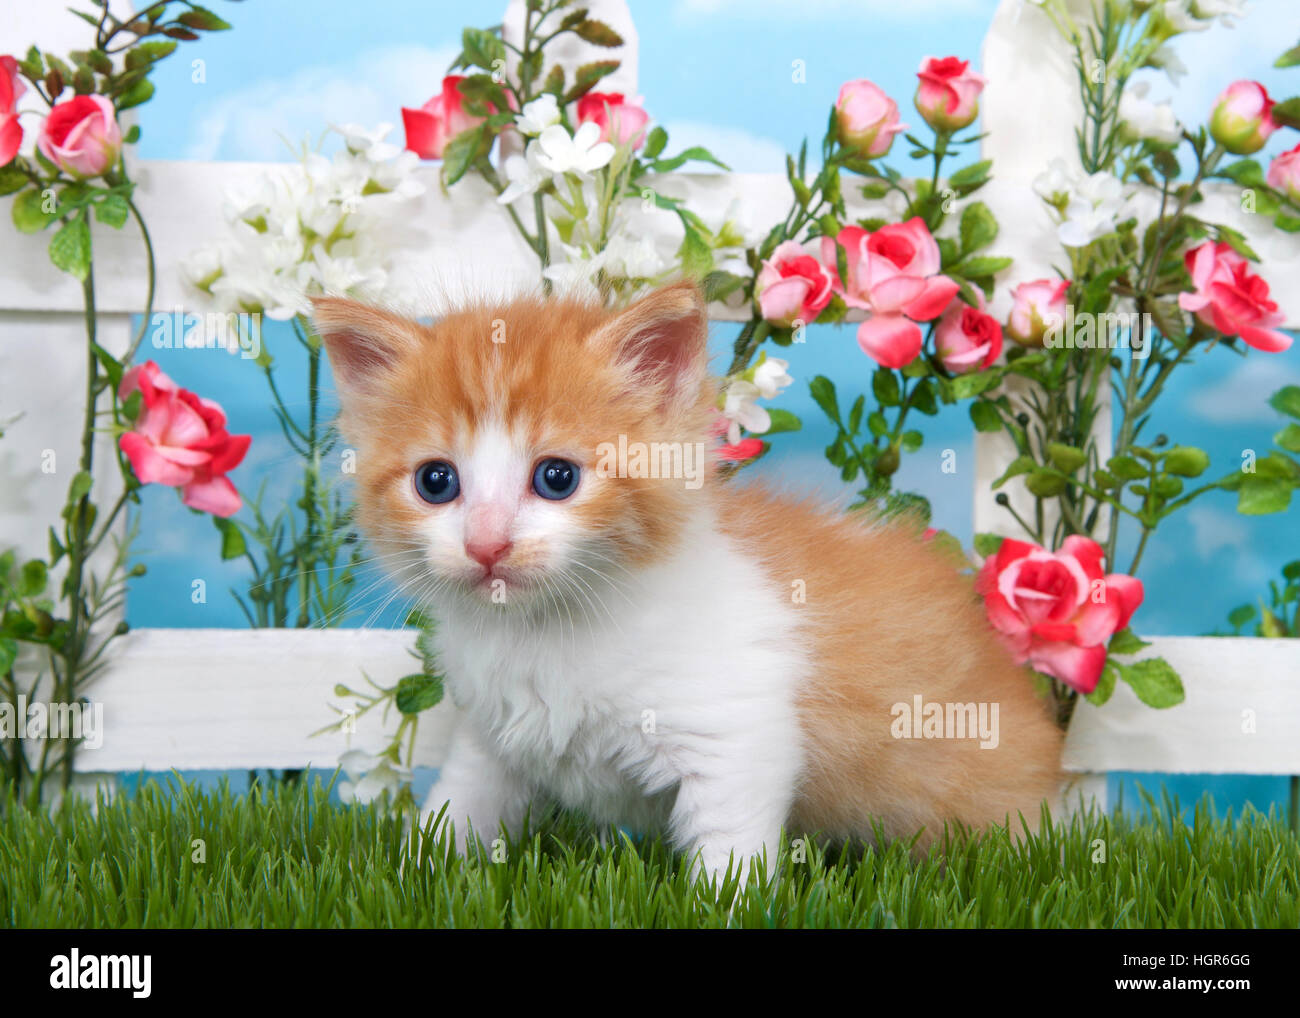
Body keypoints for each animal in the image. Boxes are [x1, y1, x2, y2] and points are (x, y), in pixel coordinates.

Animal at [312, 282, 1055, 878]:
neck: (547, 630)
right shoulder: (491, 735)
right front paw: (408, 875)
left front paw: (723, 904)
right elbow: (456, 807)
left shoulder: (737, 735)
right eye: (436, 481)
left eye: (557, 477)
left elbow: (727, 853)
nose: (486, 544)